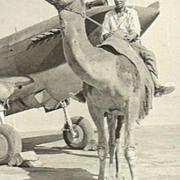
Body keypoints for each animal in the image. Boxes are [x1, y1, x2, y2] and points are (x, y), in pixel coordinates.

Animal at [44, 0, 154, 179]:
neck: (107, 74)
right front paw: (104, 175)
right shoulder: (95, 107)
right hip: (112, 112)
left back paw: (118, 173)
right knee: (112, 141)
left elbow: (129, 150)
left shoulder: (132, 104)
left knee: (117, 140)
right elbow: (102, 147)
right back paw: (113, 173)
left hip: (123, 112)